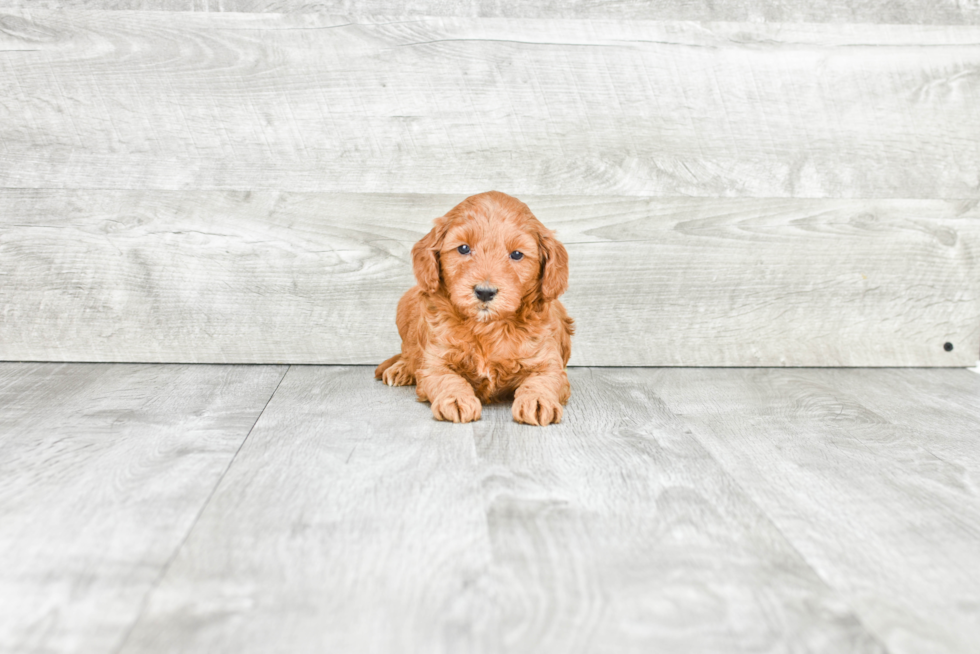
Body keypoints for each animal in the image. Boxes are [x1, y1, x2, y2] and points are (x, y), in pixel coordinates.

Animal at [376, 191, 576, 426]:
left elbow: (543, 381)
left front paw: (537, 401)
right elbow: (446, 378)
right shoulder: (435, 361)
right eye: (464, 248)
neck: (487, 328)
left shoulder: (548, 363)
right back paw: (400, 369)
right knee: (408, 351)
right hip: (406, 303)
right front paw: (455, 399)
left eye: (517, 254)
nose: (485, 292)